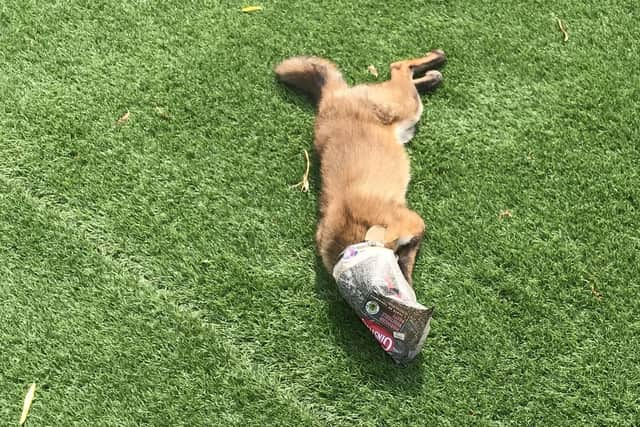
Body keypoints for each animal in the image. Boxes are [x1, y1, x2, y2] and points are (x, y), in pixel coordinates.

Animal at [274, 49, 444, 284]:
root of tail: (329, 98)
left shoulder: (414, 223)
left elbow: (406, 262)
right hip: (406, 112)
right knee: (403, 72)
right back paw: (432, 76)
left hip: (405, 106)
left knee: (399, 66)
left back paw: (437, 58)